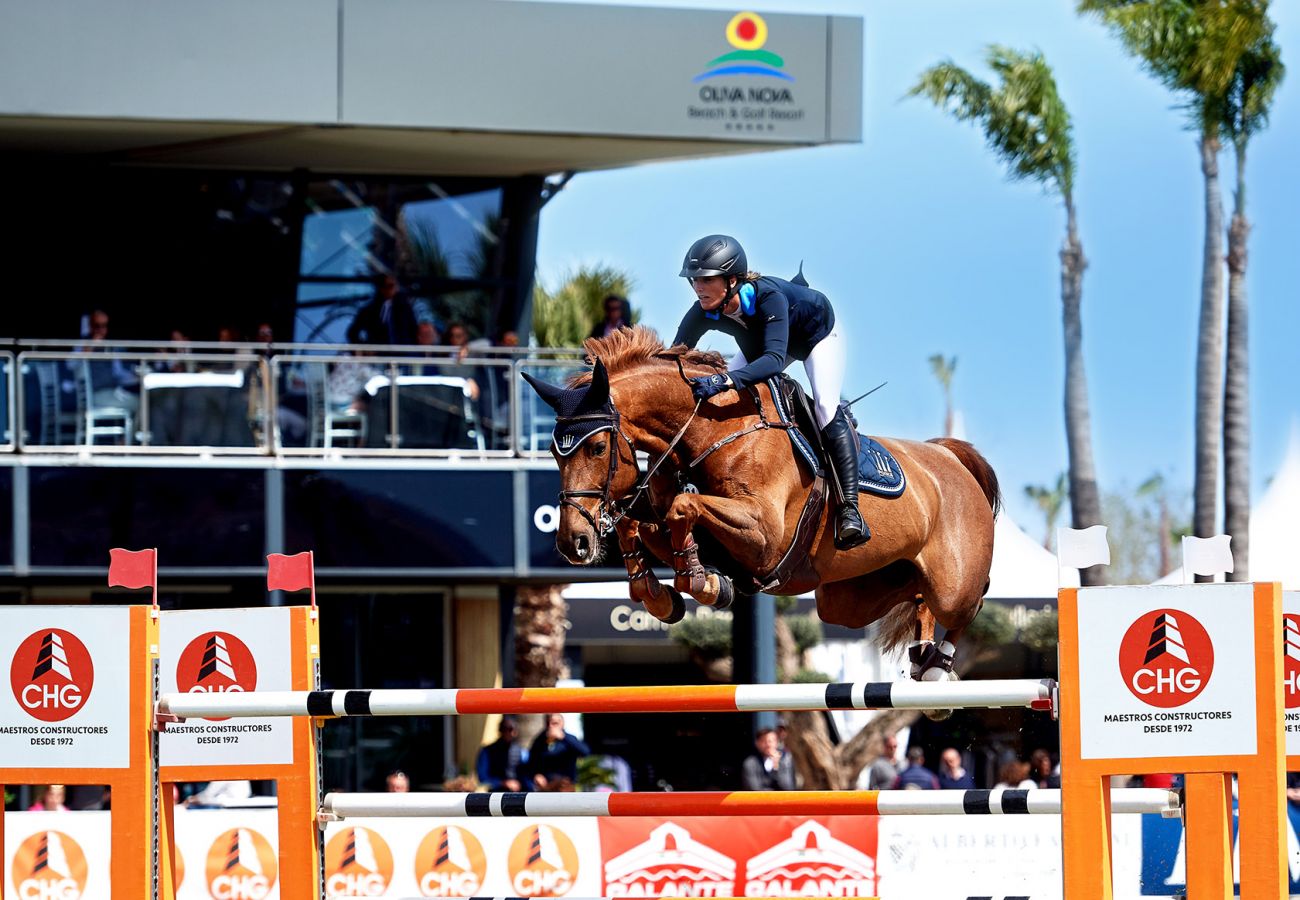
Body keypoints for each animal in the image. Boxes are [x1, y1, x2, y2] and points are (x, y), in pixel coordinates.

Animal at [522, 326, 998, 676]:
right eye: (553, 453)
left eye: (597, 448)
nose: (573, 543)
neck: (710, 429)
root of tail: (949, 456)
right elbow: (638, 524)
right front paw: (660, 594)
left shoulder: (765, 537)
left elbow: (683, 508)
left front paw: (700, 580)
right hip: (847, 600)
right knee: (912, 591)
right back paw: (922, 652)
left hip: (952, 583)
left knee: (969, 601)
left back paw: (939, 667)